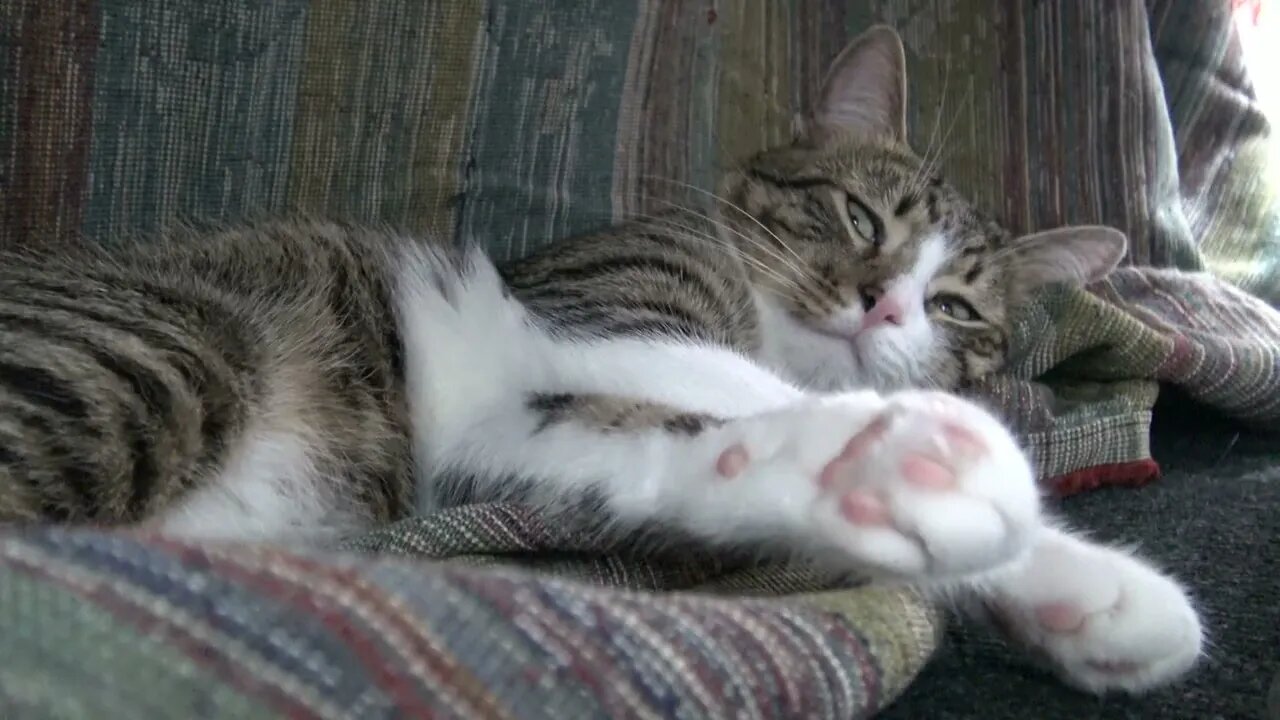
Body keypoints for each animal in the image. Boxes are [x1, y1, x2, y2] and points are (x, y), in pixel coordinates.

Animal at [0, 25, 1198, 691]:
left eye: (953, 308)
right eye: (862, 218)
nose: (881, 303)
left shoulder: (511, 445)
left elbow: (669, 457)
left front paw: (1061, 579)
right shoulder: (608, 307)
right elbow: (729, 383)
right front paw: (934, 463)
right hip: (162, 353)